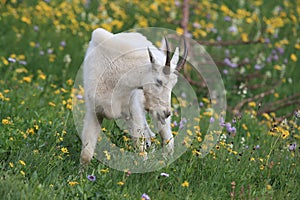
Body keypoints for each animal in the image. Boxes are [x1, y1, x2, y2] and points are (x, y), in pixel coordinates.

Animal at [81, 28, 186, 166]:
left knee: (167, 139)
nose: (166, 113)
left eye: (173, 85)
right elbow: (86, 153)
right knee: (151, 135)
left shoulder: (133, 111)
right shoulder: (94, 112)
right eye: (159, 81)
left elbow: (139, 146)